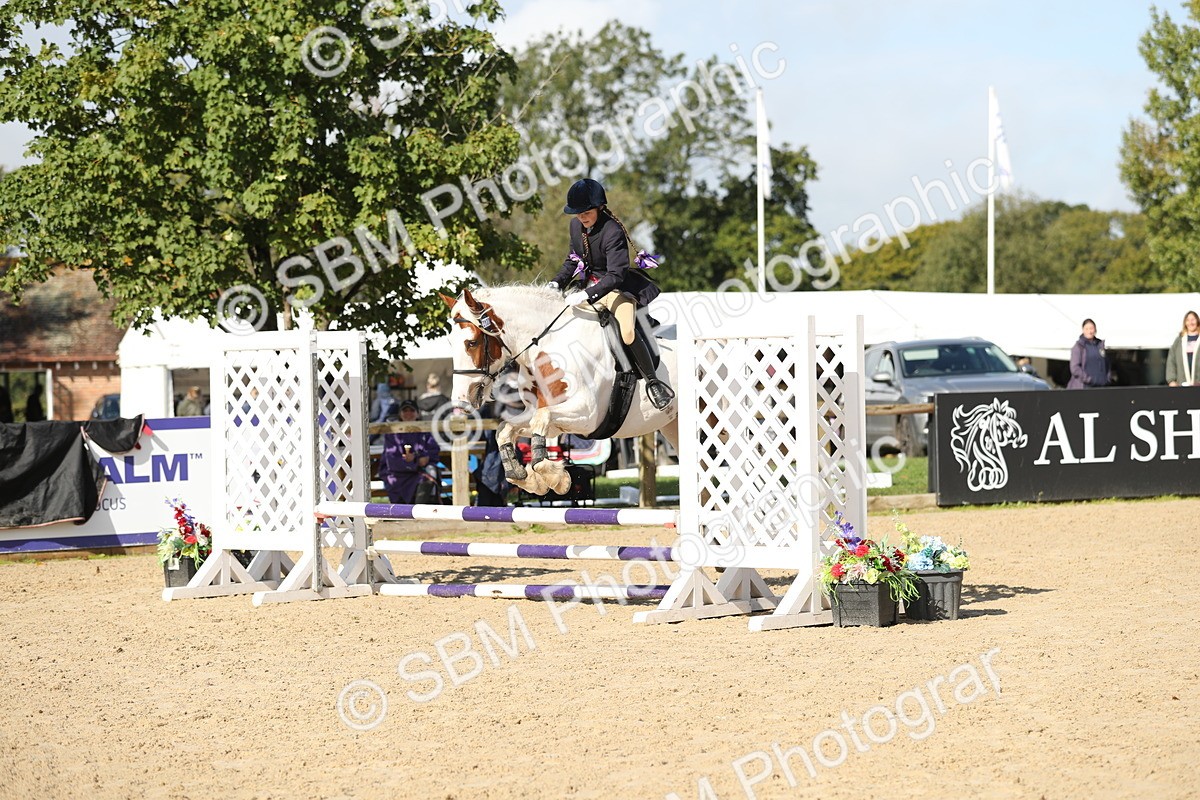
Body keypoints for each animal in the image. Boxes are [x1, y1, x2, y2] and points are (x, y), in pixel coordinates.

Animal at [441, 286, 679, 496]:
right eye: (450, 342)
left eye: (471, 343)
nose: (461, 401)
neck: (551, 343)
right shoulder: (542, 414)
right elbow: (505, 429)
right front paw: (524, 477)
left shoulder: (587, 416)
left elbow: (541, 418)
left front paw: (555, 478)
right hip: (671, 425)